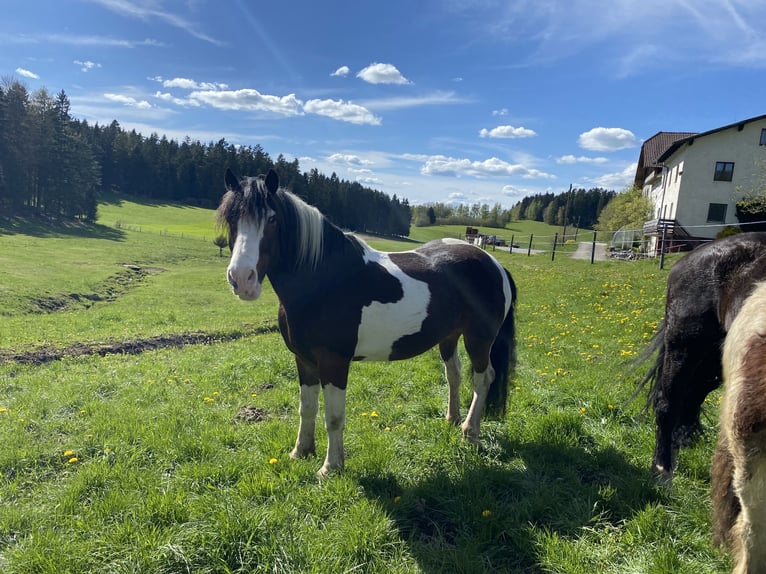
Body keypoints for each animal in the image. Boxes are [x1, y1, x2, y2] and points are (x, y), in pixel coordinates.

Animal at [217, 169, 517, 476]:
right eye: (230, 217)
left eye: (272, 219)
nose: (242, 280)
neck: (324, 280)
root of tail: (493, 263)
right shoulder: (304, 360)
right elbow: (307, 408)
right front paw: (301, 452)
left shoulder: (334, 362)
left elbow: (334, 417)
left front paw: (330, 467)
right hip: (449, 336)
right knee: (454, 374)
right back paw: (452, 420)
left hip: (479, 338)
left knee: (483, 378)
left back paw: (470, 432)